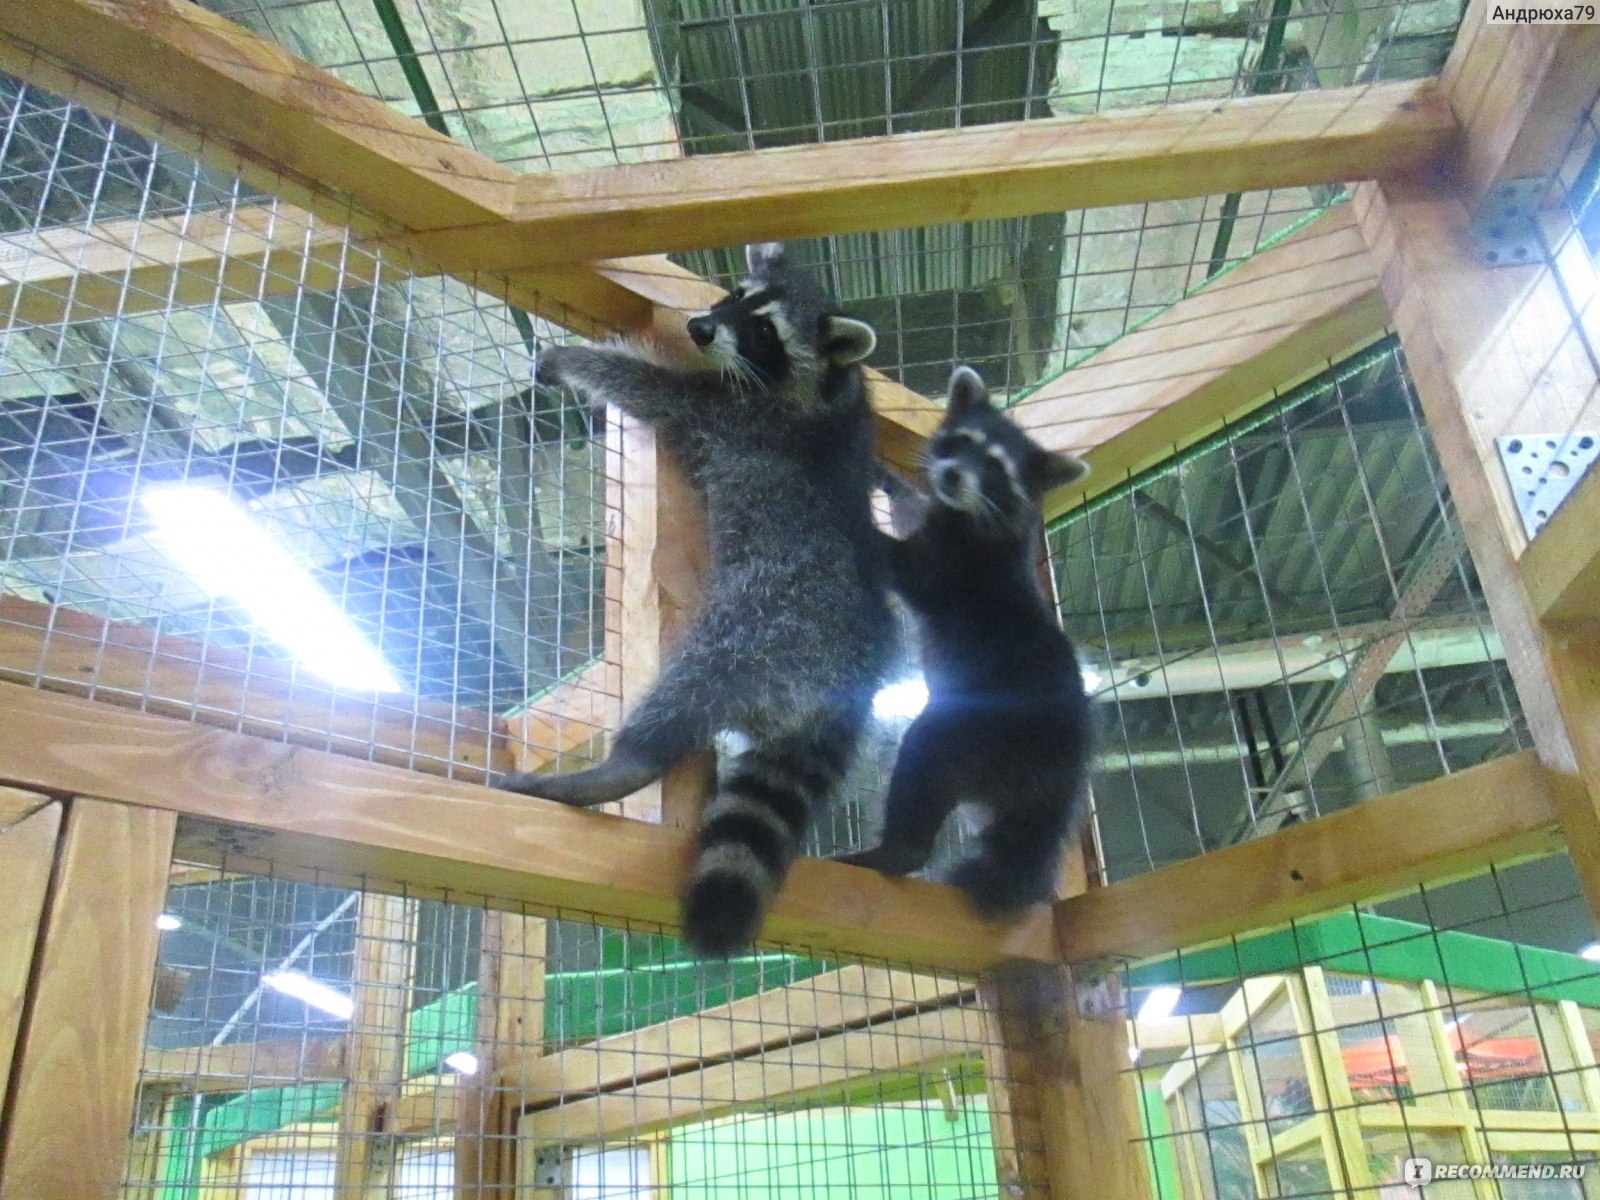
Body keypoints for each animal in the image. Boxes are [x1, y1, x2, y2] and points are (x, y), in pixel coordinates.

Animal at [502, 241, 902, 960]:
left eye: (766, 330)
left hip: (761, 630)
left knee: (688, 690)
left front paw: (575, 359)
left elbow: (649, 388)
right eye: (737, 296)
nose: (699, 327)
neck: (829, 387)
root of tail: (852, 676)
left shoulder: (733, 419)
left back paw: (626, 762)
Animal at [844, 366, 1094, 921]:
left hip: (984, 730)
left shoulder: (965, 562)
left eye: (997, 470)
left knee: (925, 756)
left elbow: (910, 570)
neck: (970, 510)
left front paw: (858, 518)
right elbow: (912, 507)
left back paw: (896, 851)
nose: (954, 477)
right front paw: (884, 478)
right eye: (961, 444)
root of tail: (1065, 770)